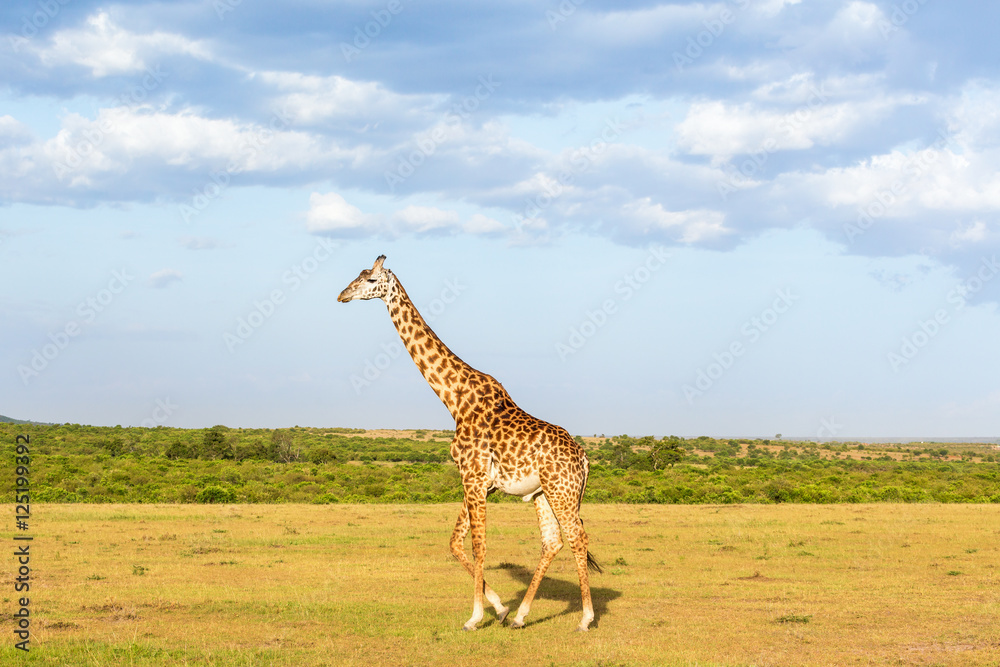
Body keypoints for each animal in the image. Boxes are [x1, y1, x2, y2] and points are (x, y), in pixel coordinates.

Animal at [338, 255, 601, 632]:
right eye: (357, 276)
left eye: (371, 279)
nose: (342, 295)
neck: (454, 398)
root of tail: (584, 457)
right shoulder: (475, 481)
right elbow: (455, 543)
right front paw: (500, 608)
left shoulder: (474, 478)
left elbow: (479, 546)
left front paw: (475, 617)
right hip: (543, 493)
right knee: (552, 542)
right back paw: (520, 616)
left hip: (562, 489)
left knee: (578, 537)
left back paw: (585, 618)